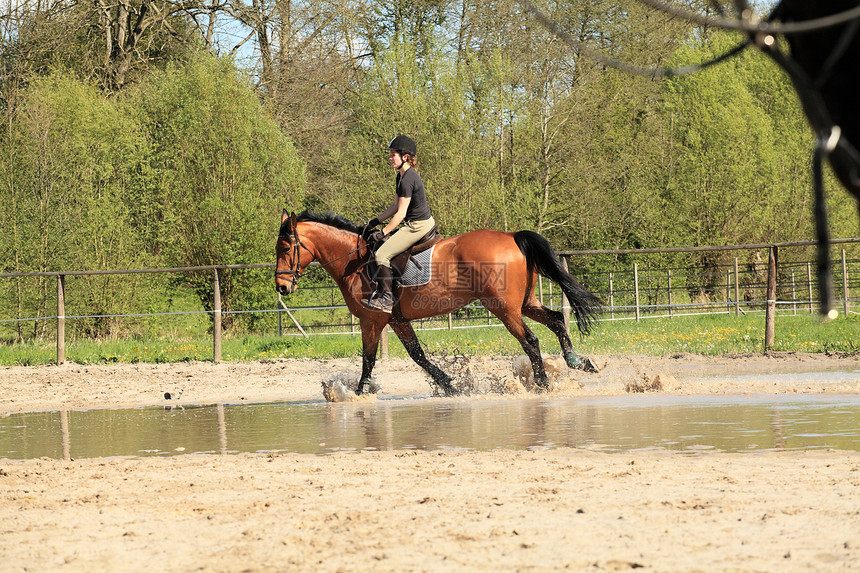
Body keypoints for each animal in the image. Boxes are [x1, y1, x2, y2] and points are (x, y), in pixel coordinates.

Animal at [274, 210, 596, 394]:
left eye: (286, 248)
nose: (281, 286)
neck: (355, 260)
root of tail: (512, 236)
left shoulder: (372, 320)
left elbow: (369, 358)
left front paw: (360, 392)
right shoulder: (397, 320)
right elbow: (417, 355)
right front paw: (450, 385)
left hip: (504, 308)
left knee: (530, 340)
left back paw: (542, 384)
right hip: (525, 302)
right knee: (556, 319)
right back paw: (577, 361)